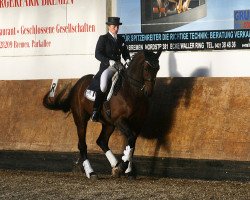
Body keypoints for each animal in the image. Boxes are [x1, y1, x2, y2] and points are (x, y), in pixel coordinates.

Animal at [43, 48, 162, 180]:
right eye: (146, 69)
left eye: (158, 68)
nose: (148, 92)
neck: (132, 92)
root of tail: (78, 84)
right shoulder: (120, 120)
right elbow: (130, 140)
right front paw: (123, 167)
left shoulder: (137, 123)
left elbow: (132, 144)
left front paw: (127, 170)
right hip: (81, 120)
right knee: (82, 145)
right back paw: (91, 172)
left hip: (108, 124)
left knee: (102, 141)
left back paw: (115, 165)